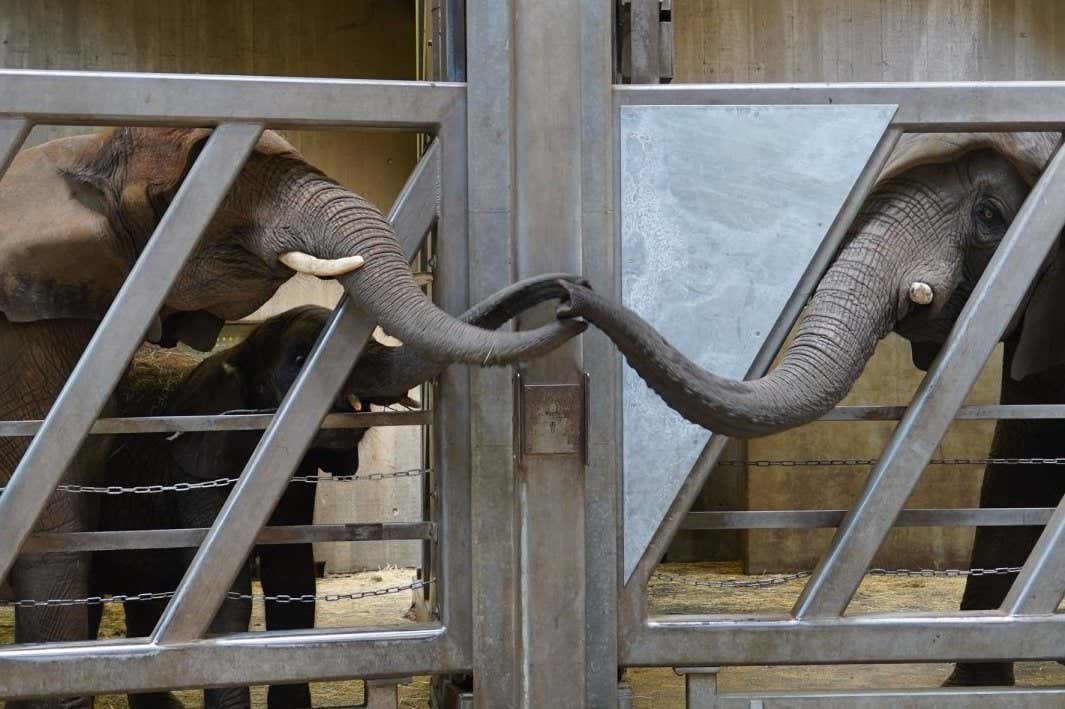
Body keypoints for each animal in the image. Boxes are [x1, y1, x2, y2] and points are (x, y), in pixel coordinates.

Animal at [91, 274, 583, 709]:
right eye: (300, 359)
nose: (571, 294)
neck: (236, 353)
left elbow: (292, 576)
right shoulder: (200, 466)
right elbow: (225, 595)